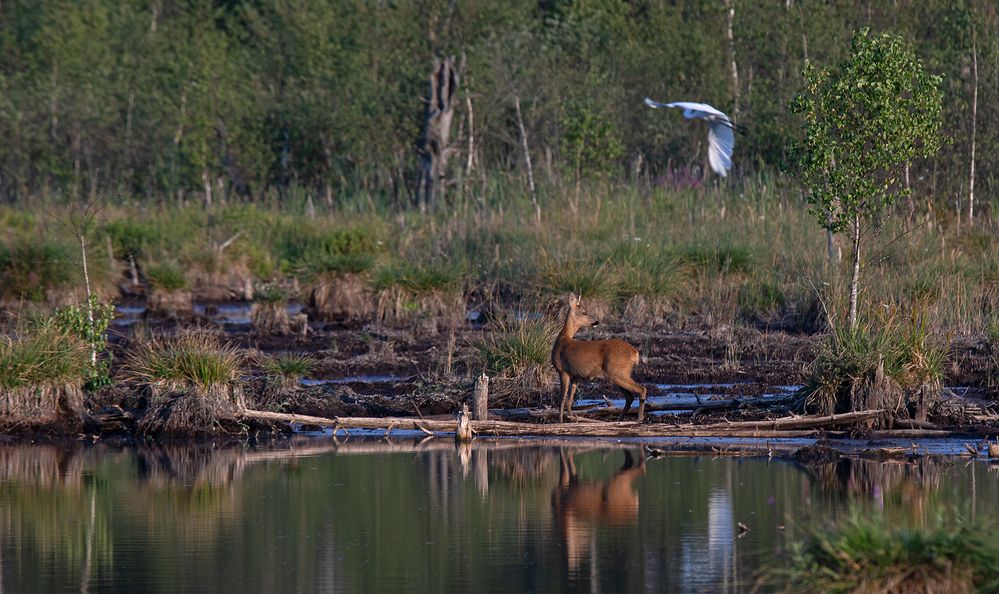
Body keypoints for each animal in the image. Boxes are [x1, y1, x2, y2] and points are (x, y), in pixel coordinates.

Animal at [548, 292, 648, 420]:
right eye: (584, 312)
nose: (596, 322)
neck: (563, 338)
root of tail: (635, 353)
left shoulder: (562, 371)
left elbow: (562, 399)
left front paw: (560, 420)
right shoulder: (575, 376)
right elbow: (569, 400)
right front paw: (571, 417)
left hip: (617, 373)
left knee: (641, 389)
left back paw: (639, 418)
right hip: (620, 373)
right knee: (630, 397)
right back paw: (620, 418)